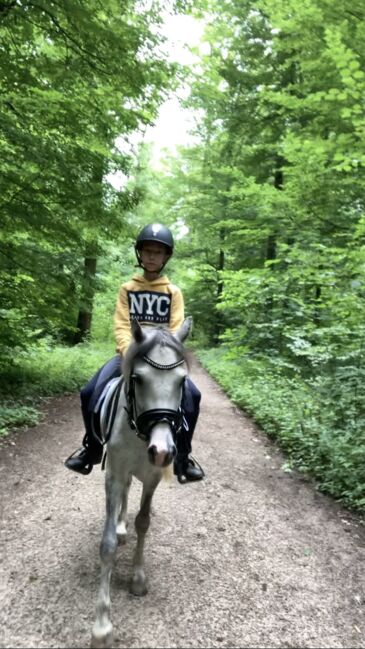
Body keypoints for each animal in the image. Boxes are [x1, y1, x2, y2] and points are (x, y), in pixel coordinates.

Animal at [90, 316, 191, 644]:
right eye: (138, 379)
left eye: (182, 381)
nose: (162, 451)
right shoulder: (114, 473)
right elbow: (107, 544)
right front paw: (102, 625)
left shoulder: (152, 477)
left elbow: (143, 522)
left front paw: (137, 579)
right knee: (123, 495)